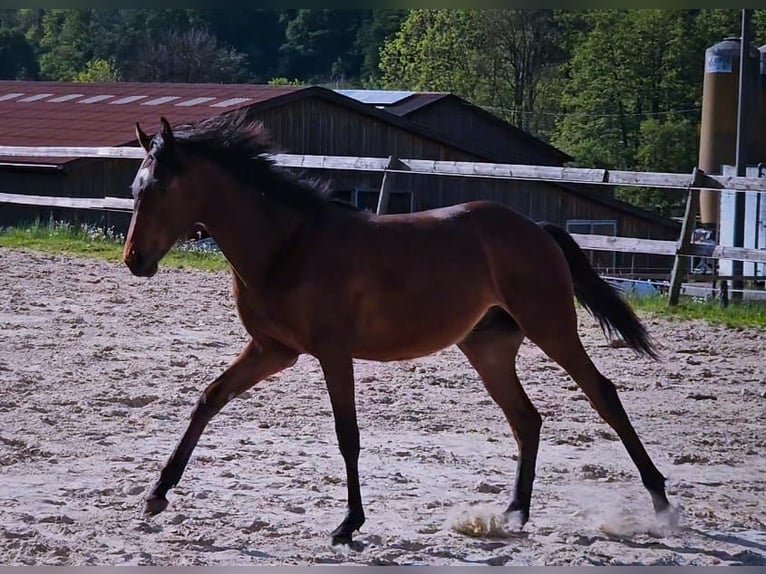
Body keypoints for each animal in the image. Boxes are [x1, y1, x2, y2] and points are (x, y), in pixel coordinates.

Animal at [123, 113, 676, 548]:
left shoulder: (331, 353)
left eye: (160, 188)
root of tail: (537, 229)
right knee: (527, 419)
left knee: (603, 394)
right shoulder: (272, 350)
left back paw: (662, 504)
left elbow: (347, 435)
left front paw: (348, 524)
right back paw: (514, 513)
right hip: (489, 349)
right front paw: (156, 495)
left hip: (551, 327)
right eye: (134, 189)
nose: (135, 260)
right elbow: (208, 400)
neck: (288, 244)